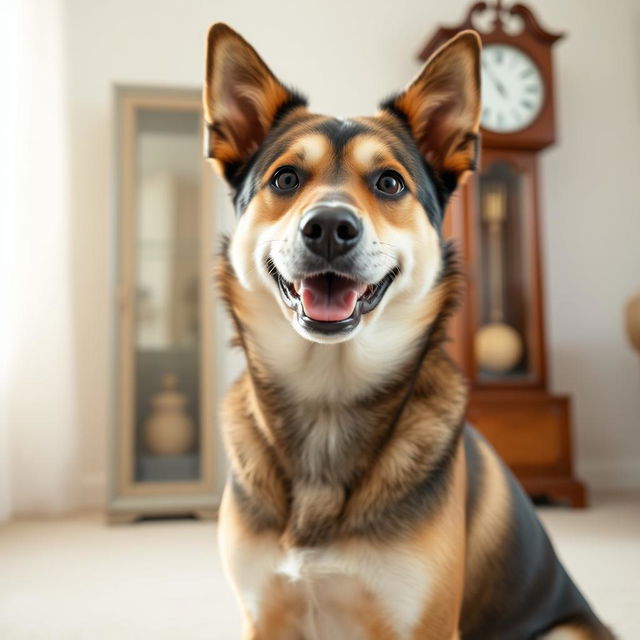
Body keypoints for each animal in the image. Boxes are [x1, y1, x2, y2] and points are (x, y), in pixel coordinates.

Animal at [202, 22, 612, 636]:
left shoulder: (427, 622)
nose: (329, 226)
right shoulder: (264, 617)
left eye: (390, 183)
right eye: (287, 178)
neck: (328, 400)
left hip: (567, 628)